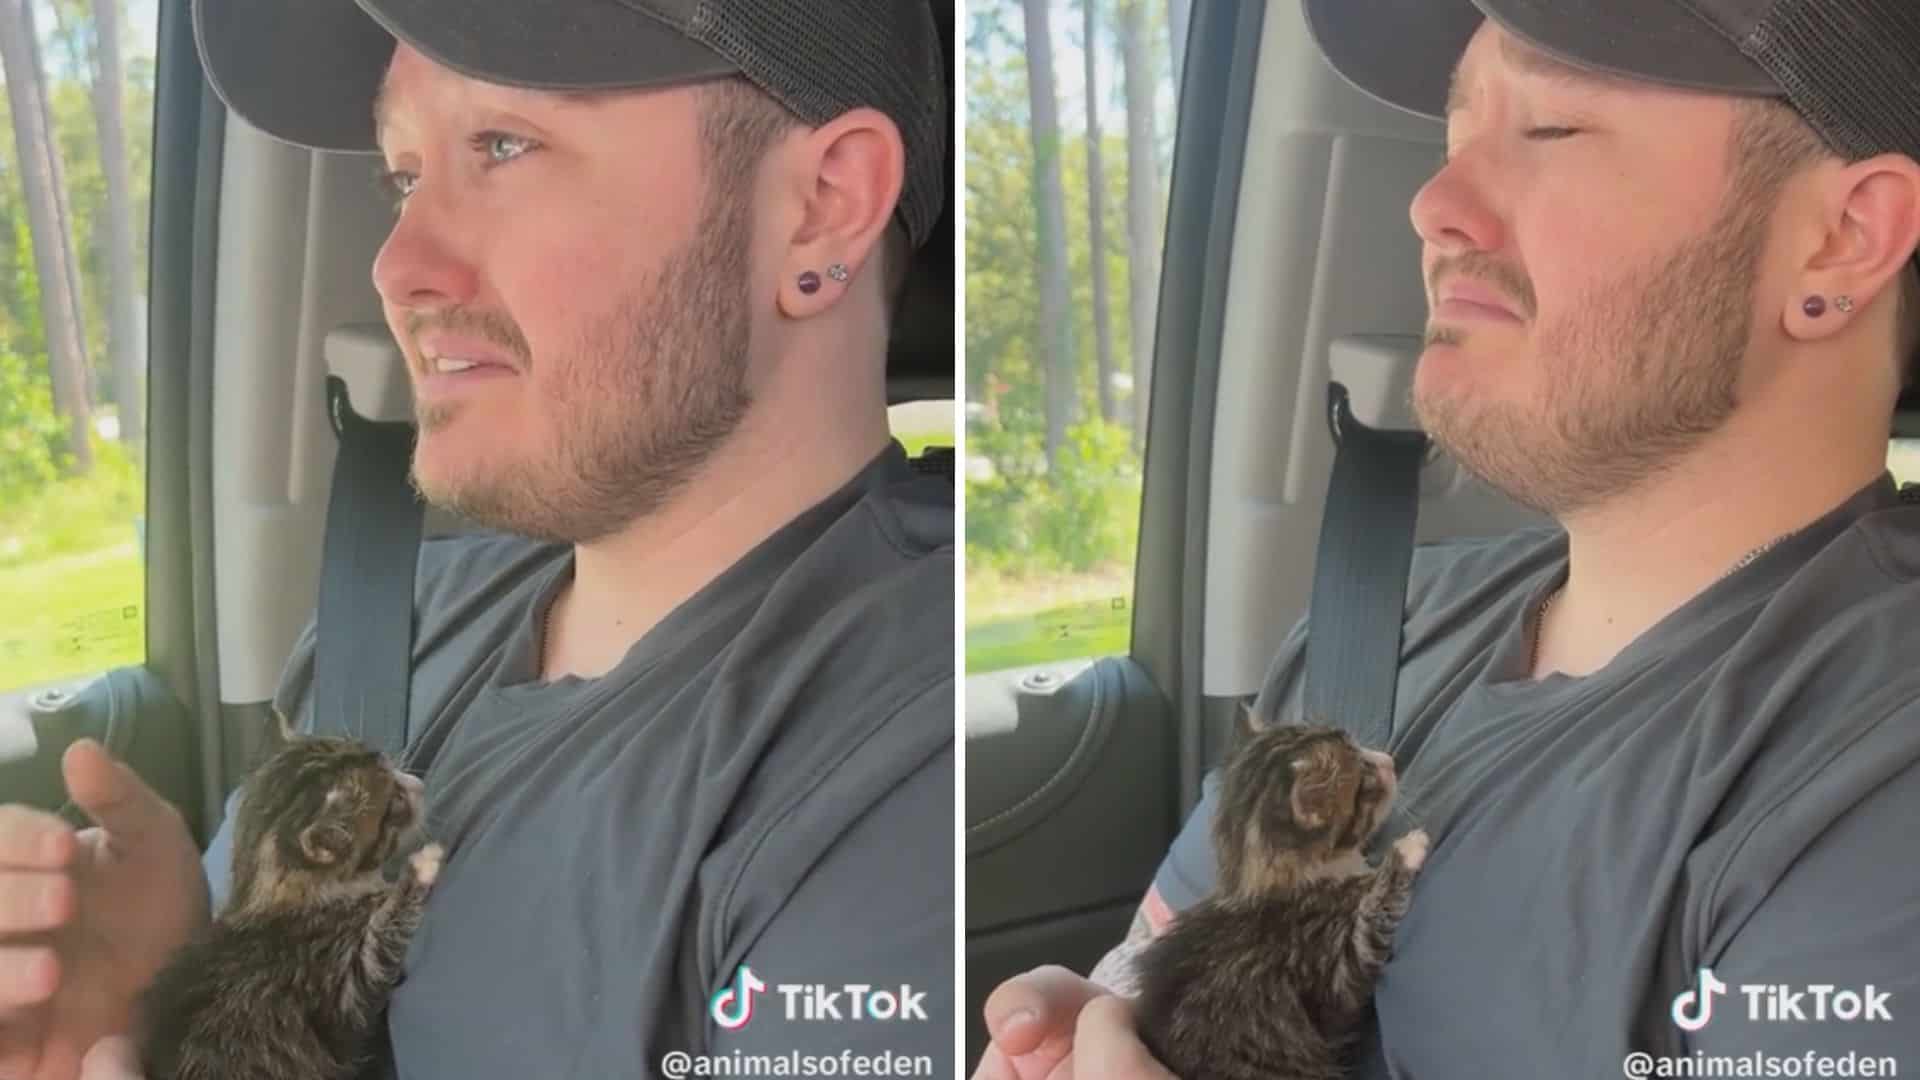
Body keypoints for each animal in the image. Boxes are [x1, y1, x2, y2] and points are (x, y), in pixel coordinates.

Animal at [141, 714, 441, 1076]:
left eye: (380, 757)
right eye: (394, 804)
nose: (418, 783)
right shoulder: (339, 977)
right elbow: (378, 952)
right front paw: (419, 871)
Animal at [1128, 707, 1436, 1076]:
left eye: (1357, 745)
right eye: (1365, 779)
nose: (1388, 760)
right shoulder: (1327, 962)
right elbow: (1366, 932)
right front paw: (1405, 851)